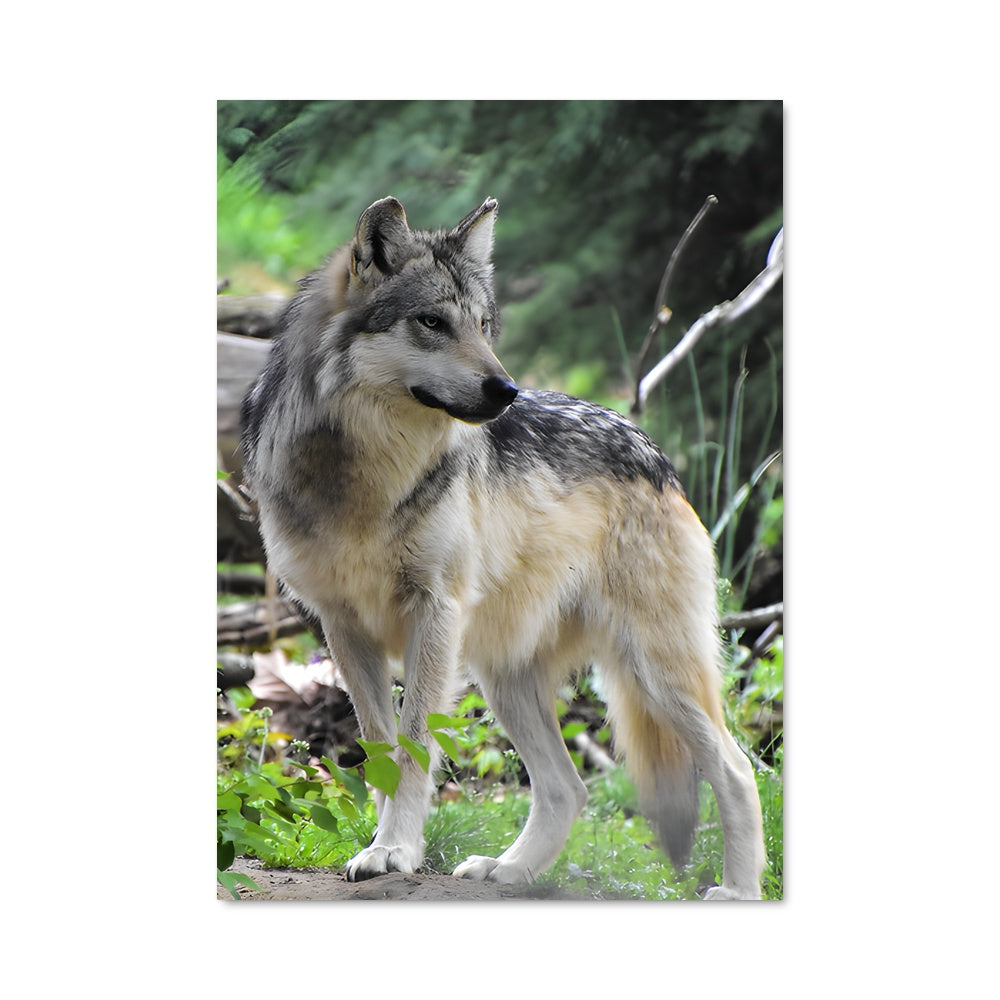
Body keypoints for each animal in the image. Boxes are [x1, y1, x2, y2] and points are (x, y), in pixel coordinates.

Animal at [240, 196, 766, 899]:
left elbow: (414, 747)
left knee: (736, 769)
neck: (362, 478)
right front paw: (382, 846)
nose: (507, 391)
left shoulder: (433, 611)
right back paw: (510, 870)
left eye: (484, 326)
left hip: (653, 671)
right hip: (505, 678)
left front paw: (395, 849)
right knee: (569, 789)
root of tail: (655, 453)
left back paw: (738, 891)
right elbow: (381, 748)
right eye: (432, 322)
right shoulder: (342, 627)